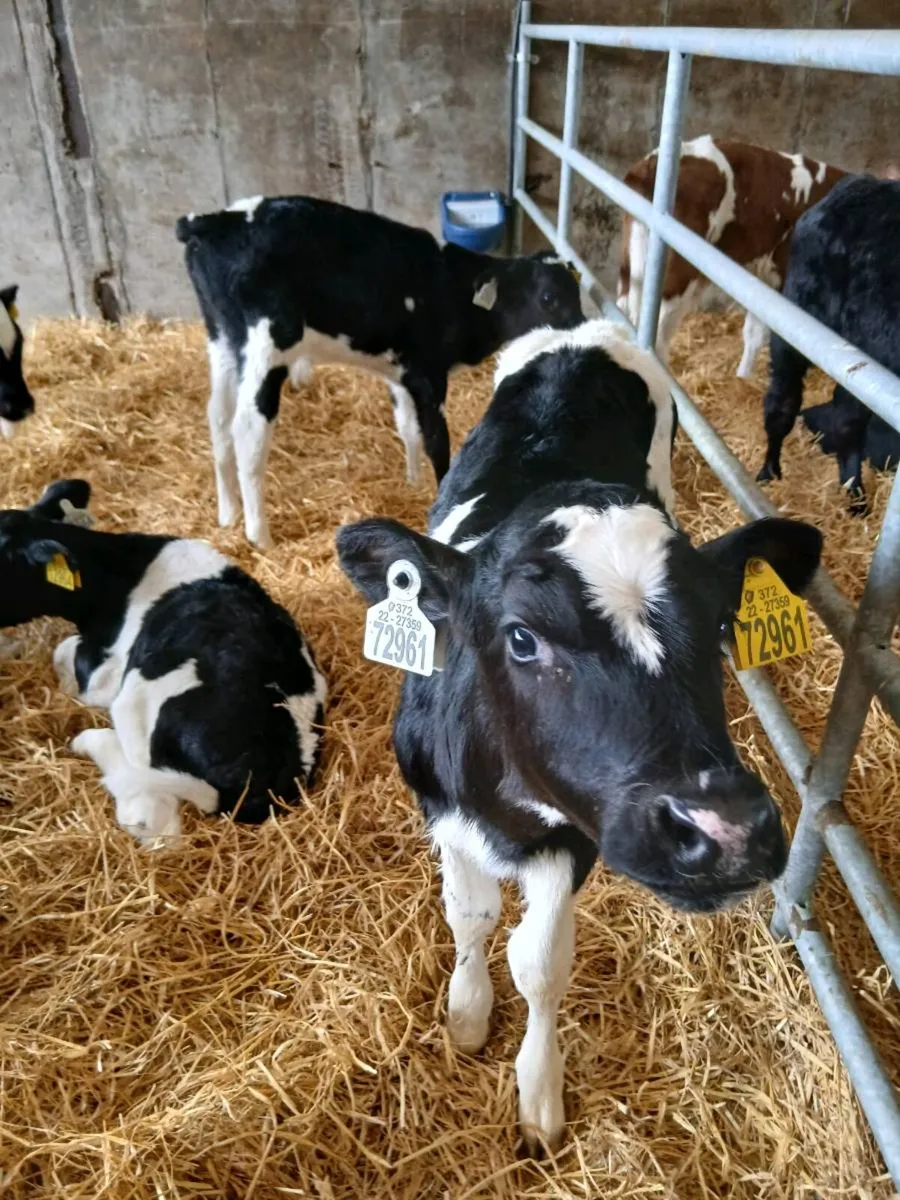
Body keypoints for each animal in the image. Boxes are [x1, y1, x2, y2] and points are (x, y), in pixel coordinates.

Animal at [176, 196, 585, 549]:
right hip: (267, 345)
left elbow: (407, 427)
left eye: (578, 292)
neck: (451, 289)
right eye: (548, 298)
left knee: (217, 417)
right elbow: (436, 439)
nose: (583, 329)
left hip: (222, 340)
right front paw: (436, 487)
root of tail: (212, 221)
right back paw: (259, 535)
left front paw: (412, 480)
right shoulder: (428, 374)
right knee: (247, 430)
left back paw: (228, 512)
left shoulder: (400, 372)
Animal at [337, 317, 822, 1152]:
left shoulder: (576, 836)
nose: (725, 830)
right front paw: (468, 1012)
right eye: (521, 637)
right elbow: (470, 916)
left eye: (720, 624)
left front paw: (538, 1092)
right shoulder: (441, 809)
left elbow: (539, 961)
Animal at [617, 136, 845, 376]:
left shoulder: (764, 285)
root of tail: (649, 164)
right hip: (675, 281)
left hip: (630, 267)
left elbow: (753, 333)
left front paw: (743, 377)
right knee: (658, 337)